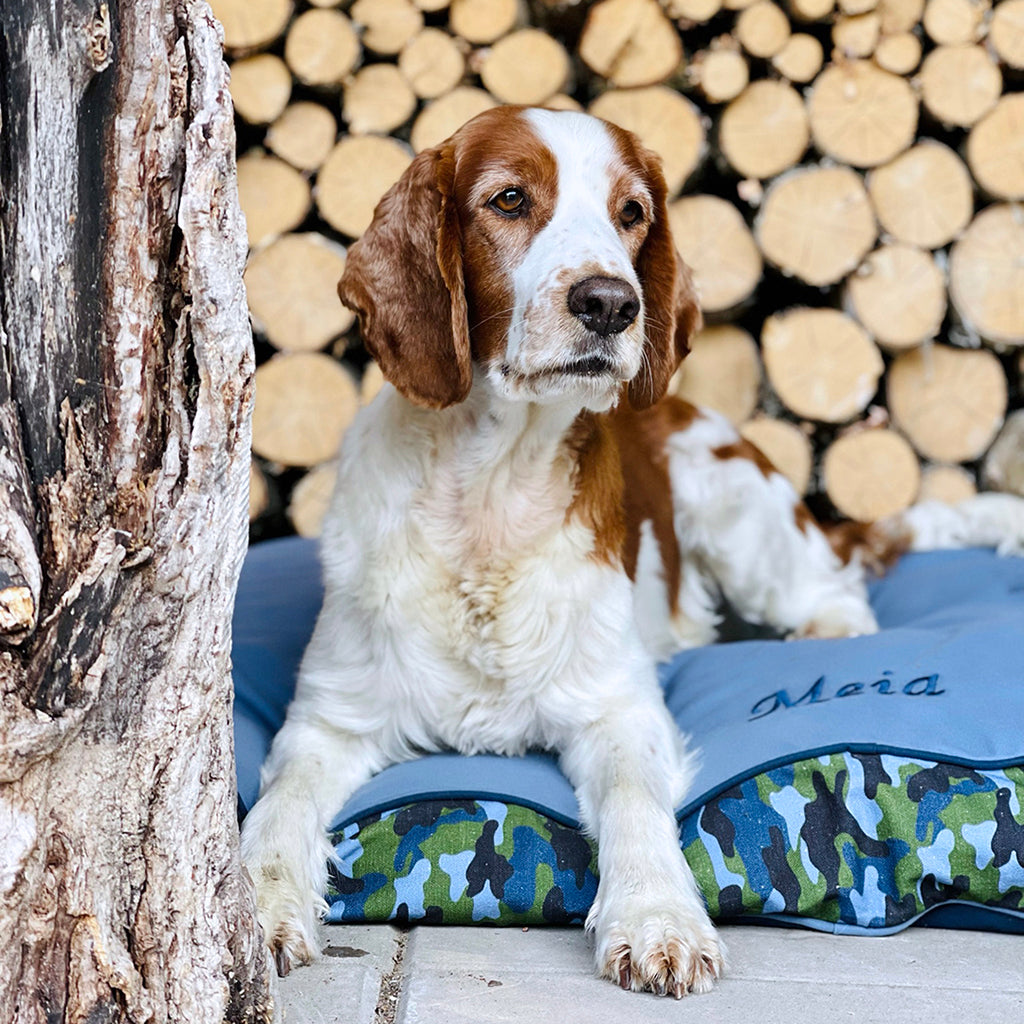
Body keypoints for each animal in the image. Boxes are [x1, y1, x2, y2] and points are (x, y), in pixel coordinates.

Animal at [241, 108, 1024, 995]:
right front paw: (250, 911)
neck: (491, 489)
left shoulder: (616, 706)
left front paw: (658, 919)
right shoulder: (329, 717)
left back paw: (825, 632)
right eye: (509, 199)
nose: (611, 302)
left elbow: (633, 800)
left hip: (732, 500)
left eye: (631, 212)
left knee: (835, 586)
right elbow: (280, 807)